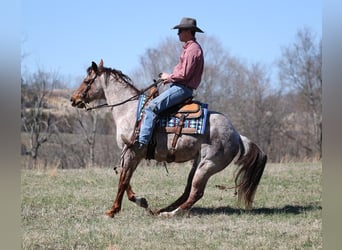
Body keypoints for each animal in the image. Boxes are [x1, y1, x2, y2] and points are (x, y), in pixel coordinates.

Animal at [70, 59, 268, 218]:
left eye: (87, 81)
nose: (73, 99)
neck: (130, 111)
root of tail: (237, 134)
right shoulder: (130, 154)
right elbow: (125, 179)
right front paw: (141, 201)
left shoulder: (132, 152)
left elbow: (123, 181)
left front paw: (113, 210)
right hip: (198, 164)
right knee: (187, 191)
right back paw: (162, 210)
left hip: (207, 166)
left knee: (195, 193)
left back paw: (171, 214)